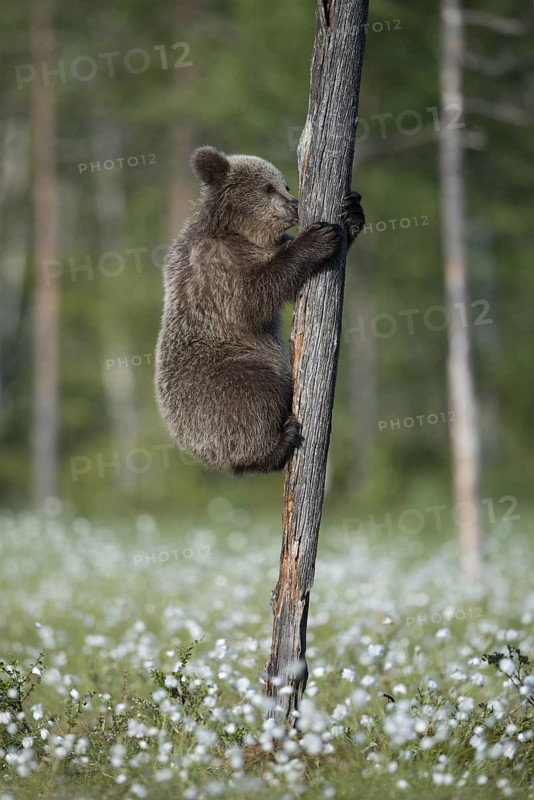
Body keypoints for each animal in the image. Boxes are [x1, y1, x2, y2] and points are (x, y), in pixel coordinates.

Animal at [155, 146, 364, 474]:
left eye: (285, 184)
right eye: (267, 187)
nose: (294, 204)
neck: (243, 233)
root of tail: (202, 453)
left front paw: (352, 210)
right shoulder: (217, 269)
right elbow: (254, 296)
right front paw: (318, 239)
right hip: (227, 373)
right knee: (255, 400)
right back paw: (280, 440)